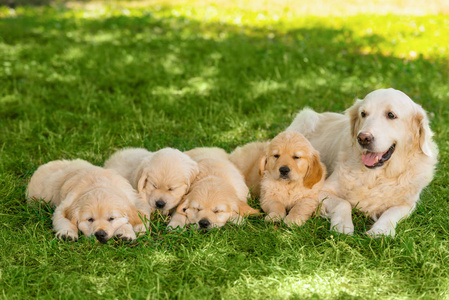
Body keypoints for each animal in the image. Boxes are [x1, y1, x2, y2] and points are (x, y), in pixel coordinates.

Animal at [288, 87, 438, 237]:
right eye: (363, 114)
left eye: (391, 115)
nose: (363, 138)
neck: (376, 176)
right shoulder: (321, 190)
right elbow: (343, 203)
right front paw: (343, 226)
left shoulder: (408, 203)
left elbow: (391, 212)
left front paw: (380, 230)